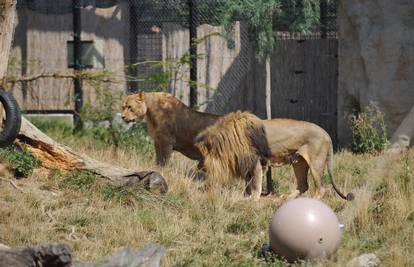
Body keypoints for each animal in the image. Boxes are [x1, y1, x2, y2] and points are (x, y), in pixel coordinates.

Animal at [196, 111, 354, 201]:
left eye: (201, 156)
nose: (199, 167)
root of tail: (326, 133)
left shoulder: (256, 162)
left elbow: (256, 183)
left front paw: (254, 198)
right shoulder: (246, 164)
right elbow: (247, 183)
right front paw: (246, 196)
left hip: (316, 162)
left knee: (321, 188)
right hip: (299, 162)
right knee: (303, 185)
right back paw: (287, 198)